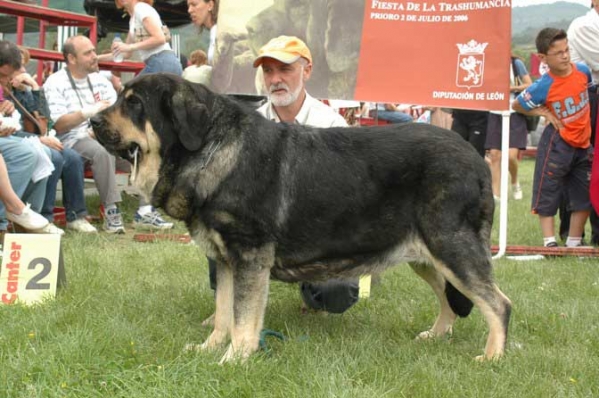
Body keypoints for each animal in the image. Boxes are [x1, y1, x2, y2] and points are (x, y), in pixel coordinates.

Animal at [91, 73, 512, 362]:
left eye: (134, 103)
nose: (93, 121)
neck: (209, 149)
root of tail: (476, 159)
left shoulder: (250, 257)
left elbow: (243, 317)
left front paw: (235, 358)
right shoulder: (226, 261)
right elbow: (224, 312)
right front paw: (211, 349)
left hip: (450, 245)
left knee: (498, 303)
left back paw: (492, 356)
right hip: (425, 254)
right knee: (450, 297)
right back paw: (437, 335)